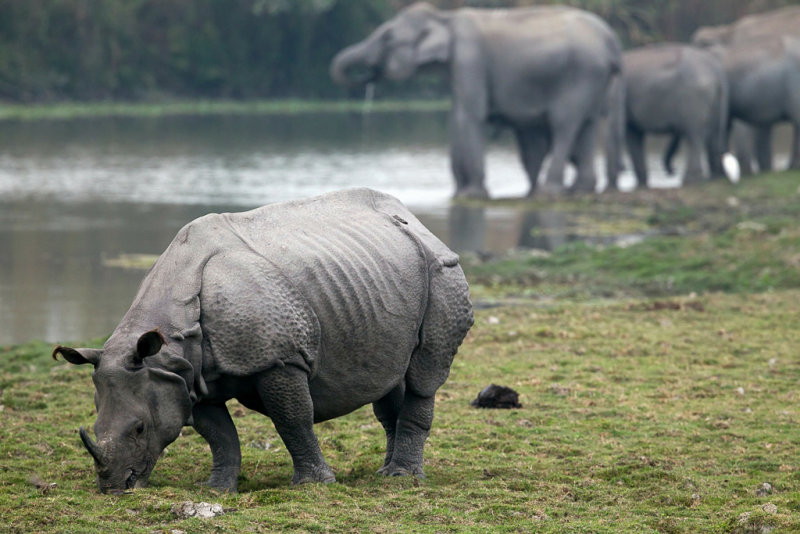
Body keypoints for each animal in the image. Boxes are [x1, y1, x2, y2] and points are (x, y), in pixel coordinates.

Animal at [51, 188, 476, 494]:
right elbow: (219, 435)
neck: (170, 341)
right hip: (382, 276)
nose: (113, 488)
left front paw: (313, 486)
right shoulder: (187, 378)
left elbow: (292, 419)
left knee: (424, 374)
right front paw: (216, 490)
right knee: (389, 377)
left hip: (442, 271)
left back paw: (402, 479)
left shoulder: (278, 358)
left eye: (140, 429)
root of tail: (418, 223)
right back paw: (385, 472)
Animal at [330, 1, 624, 198]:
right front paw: (459, 194)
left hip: (582, 73)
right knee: (587, 123)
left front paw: (472, 194)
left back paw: (550, 191)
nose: (366, 81)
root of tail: (611, 38)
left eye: (388, 38)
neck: (445, 18)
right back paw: (579, 189)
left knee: (565, 123)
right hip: (595, 79)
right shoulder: (457, 67)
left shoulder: (469, 57)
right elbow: (455, 117)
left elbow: (470, 115)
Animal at [624, 44, 732, 187]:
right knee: (711, 133)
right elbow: (633, 133)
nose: (673, 170)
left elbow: (631, 133)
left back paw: (690, 180)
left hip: (694, 97)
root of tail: (717, 69)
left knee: (694, 135)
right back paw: (715, 177)